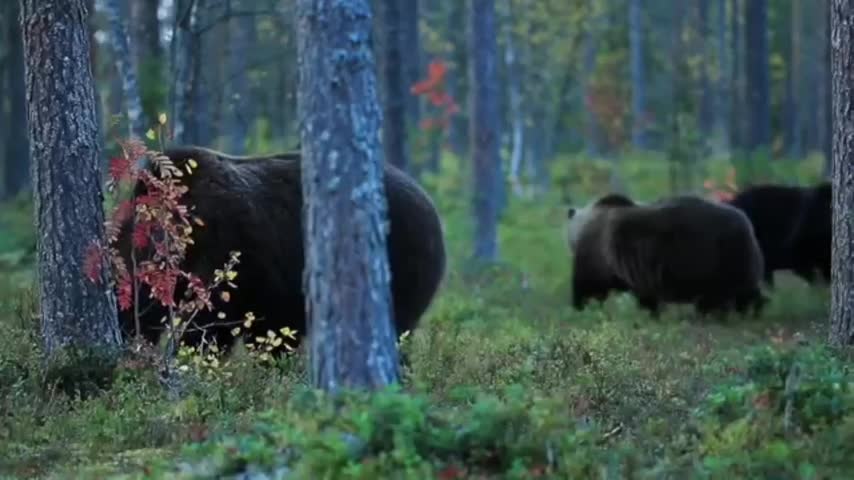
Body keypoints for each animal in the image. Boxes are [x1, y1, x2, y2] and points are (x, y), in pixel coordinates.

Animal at [568, 191, 768, 318]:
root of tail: (748, 225)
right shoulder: (636, 272)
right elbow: (646, 297)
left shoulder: (598, 255)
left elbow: (587, 286)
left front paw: (579, 307)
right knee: (745, 292)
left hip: (719, 256)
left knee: (726, 293)